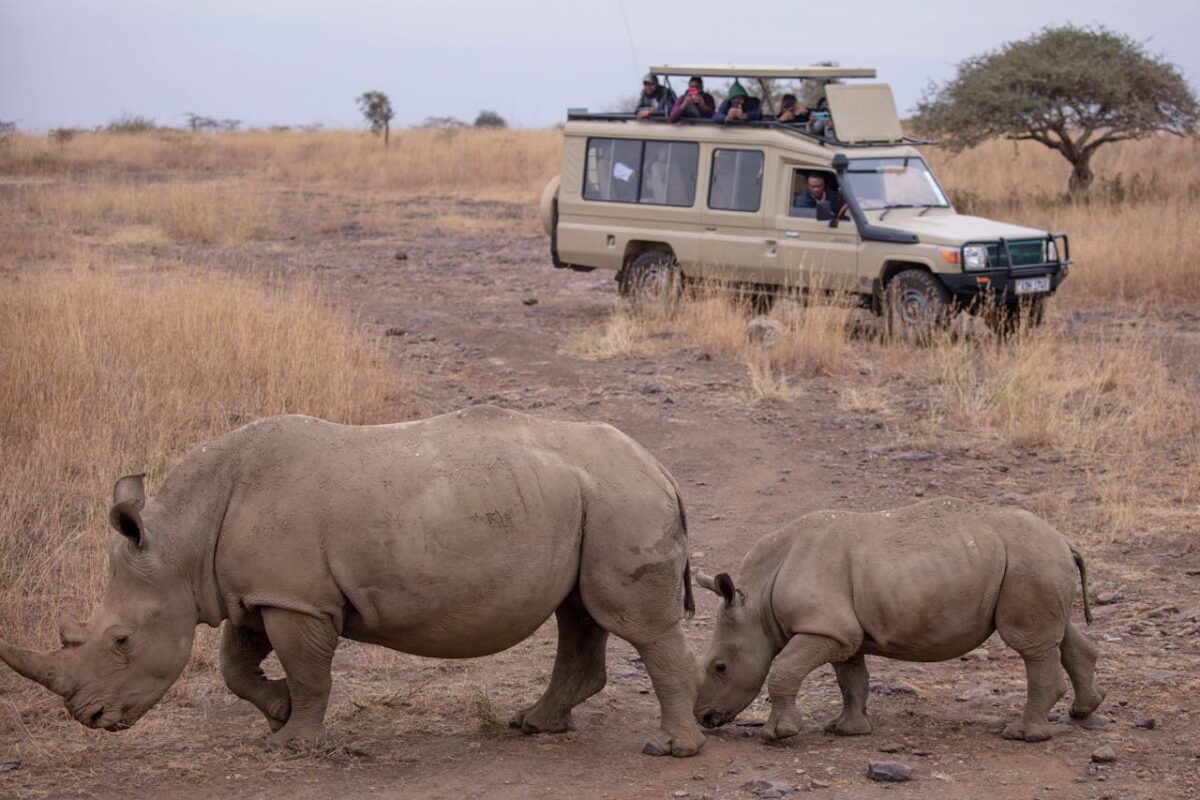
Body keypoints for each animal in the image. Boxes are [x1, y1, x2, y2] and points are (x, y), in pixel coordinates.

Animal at [0, 406, 706, 757]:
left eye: (120, 641)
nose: (89, 717)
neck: (181, 540)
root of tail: (661, 468)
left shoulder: (298, 601)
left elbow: (310, 672)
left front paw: (292, 746)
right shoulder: (261, 591)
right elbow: (235, 665)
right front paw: (277, 714)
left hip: (621, 500)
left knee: (634, 623)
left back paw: (669, 750)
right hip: (592, 500)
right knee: (579, 612)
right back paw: (534, 725)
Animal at [693, 499, 1105, 744]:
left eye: (720, 667)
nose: (704, 718)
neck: (756, 601)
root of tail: (1064, 540)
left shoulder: (824, 628)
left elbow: (782, 669)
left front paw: (779, 734)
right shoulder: (841, 633)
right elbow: (851, 680)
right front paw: (847, 730)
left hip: (1028, 560)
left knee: (1030, 645)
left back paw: (1021, 735)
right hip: (1037, 562)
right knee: (1059, 635)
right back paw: (1084, 710)